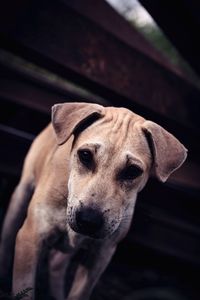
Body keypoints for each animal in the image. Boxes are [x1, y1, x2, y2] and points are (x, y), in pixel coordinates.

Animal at [0, 103, 188, 300]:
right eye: (85, 155)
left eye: (133, 171)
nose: (88, 220)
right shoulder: (32, 237)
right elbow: (25, 287)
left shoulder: (100, 257)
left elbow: (79, 292)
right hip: (21, 195)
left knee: (57, 262)